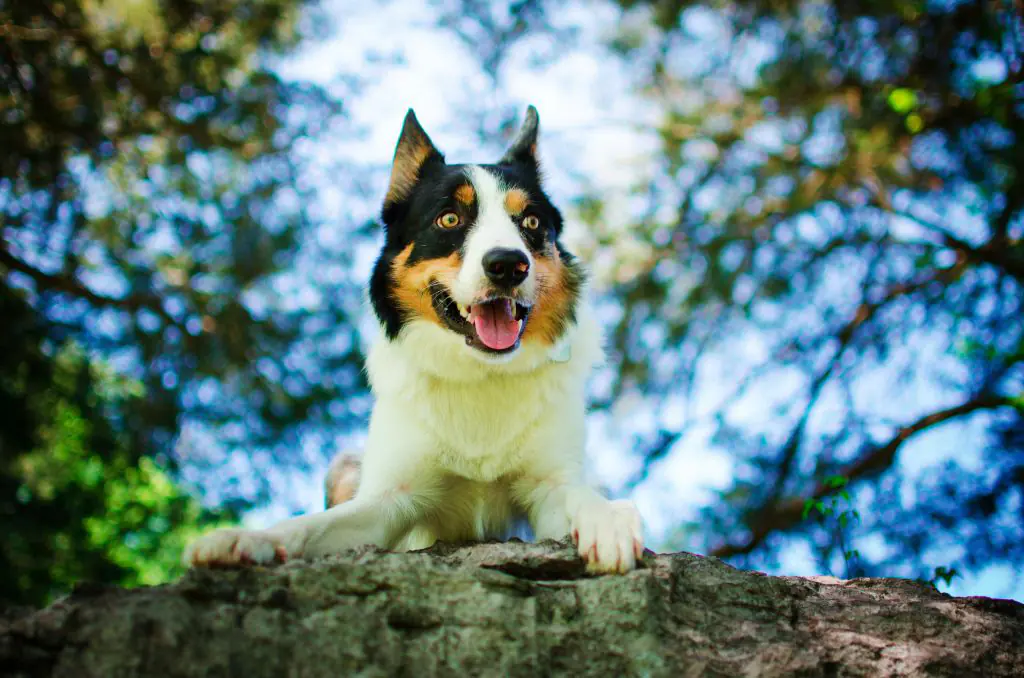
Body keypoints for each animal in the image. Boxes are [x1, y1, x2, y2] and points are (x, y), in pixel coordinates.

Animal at [185, 104, 643, 573]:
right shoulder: (388, 501)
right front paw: (247, 538)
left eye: (531, 222)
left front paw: (608, 518)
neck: (479, 373)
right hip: (344, 465)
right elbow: (307, 526)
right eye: (449, 219)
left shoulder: (549, 488)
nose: (508, 265)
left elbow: (577, 494)